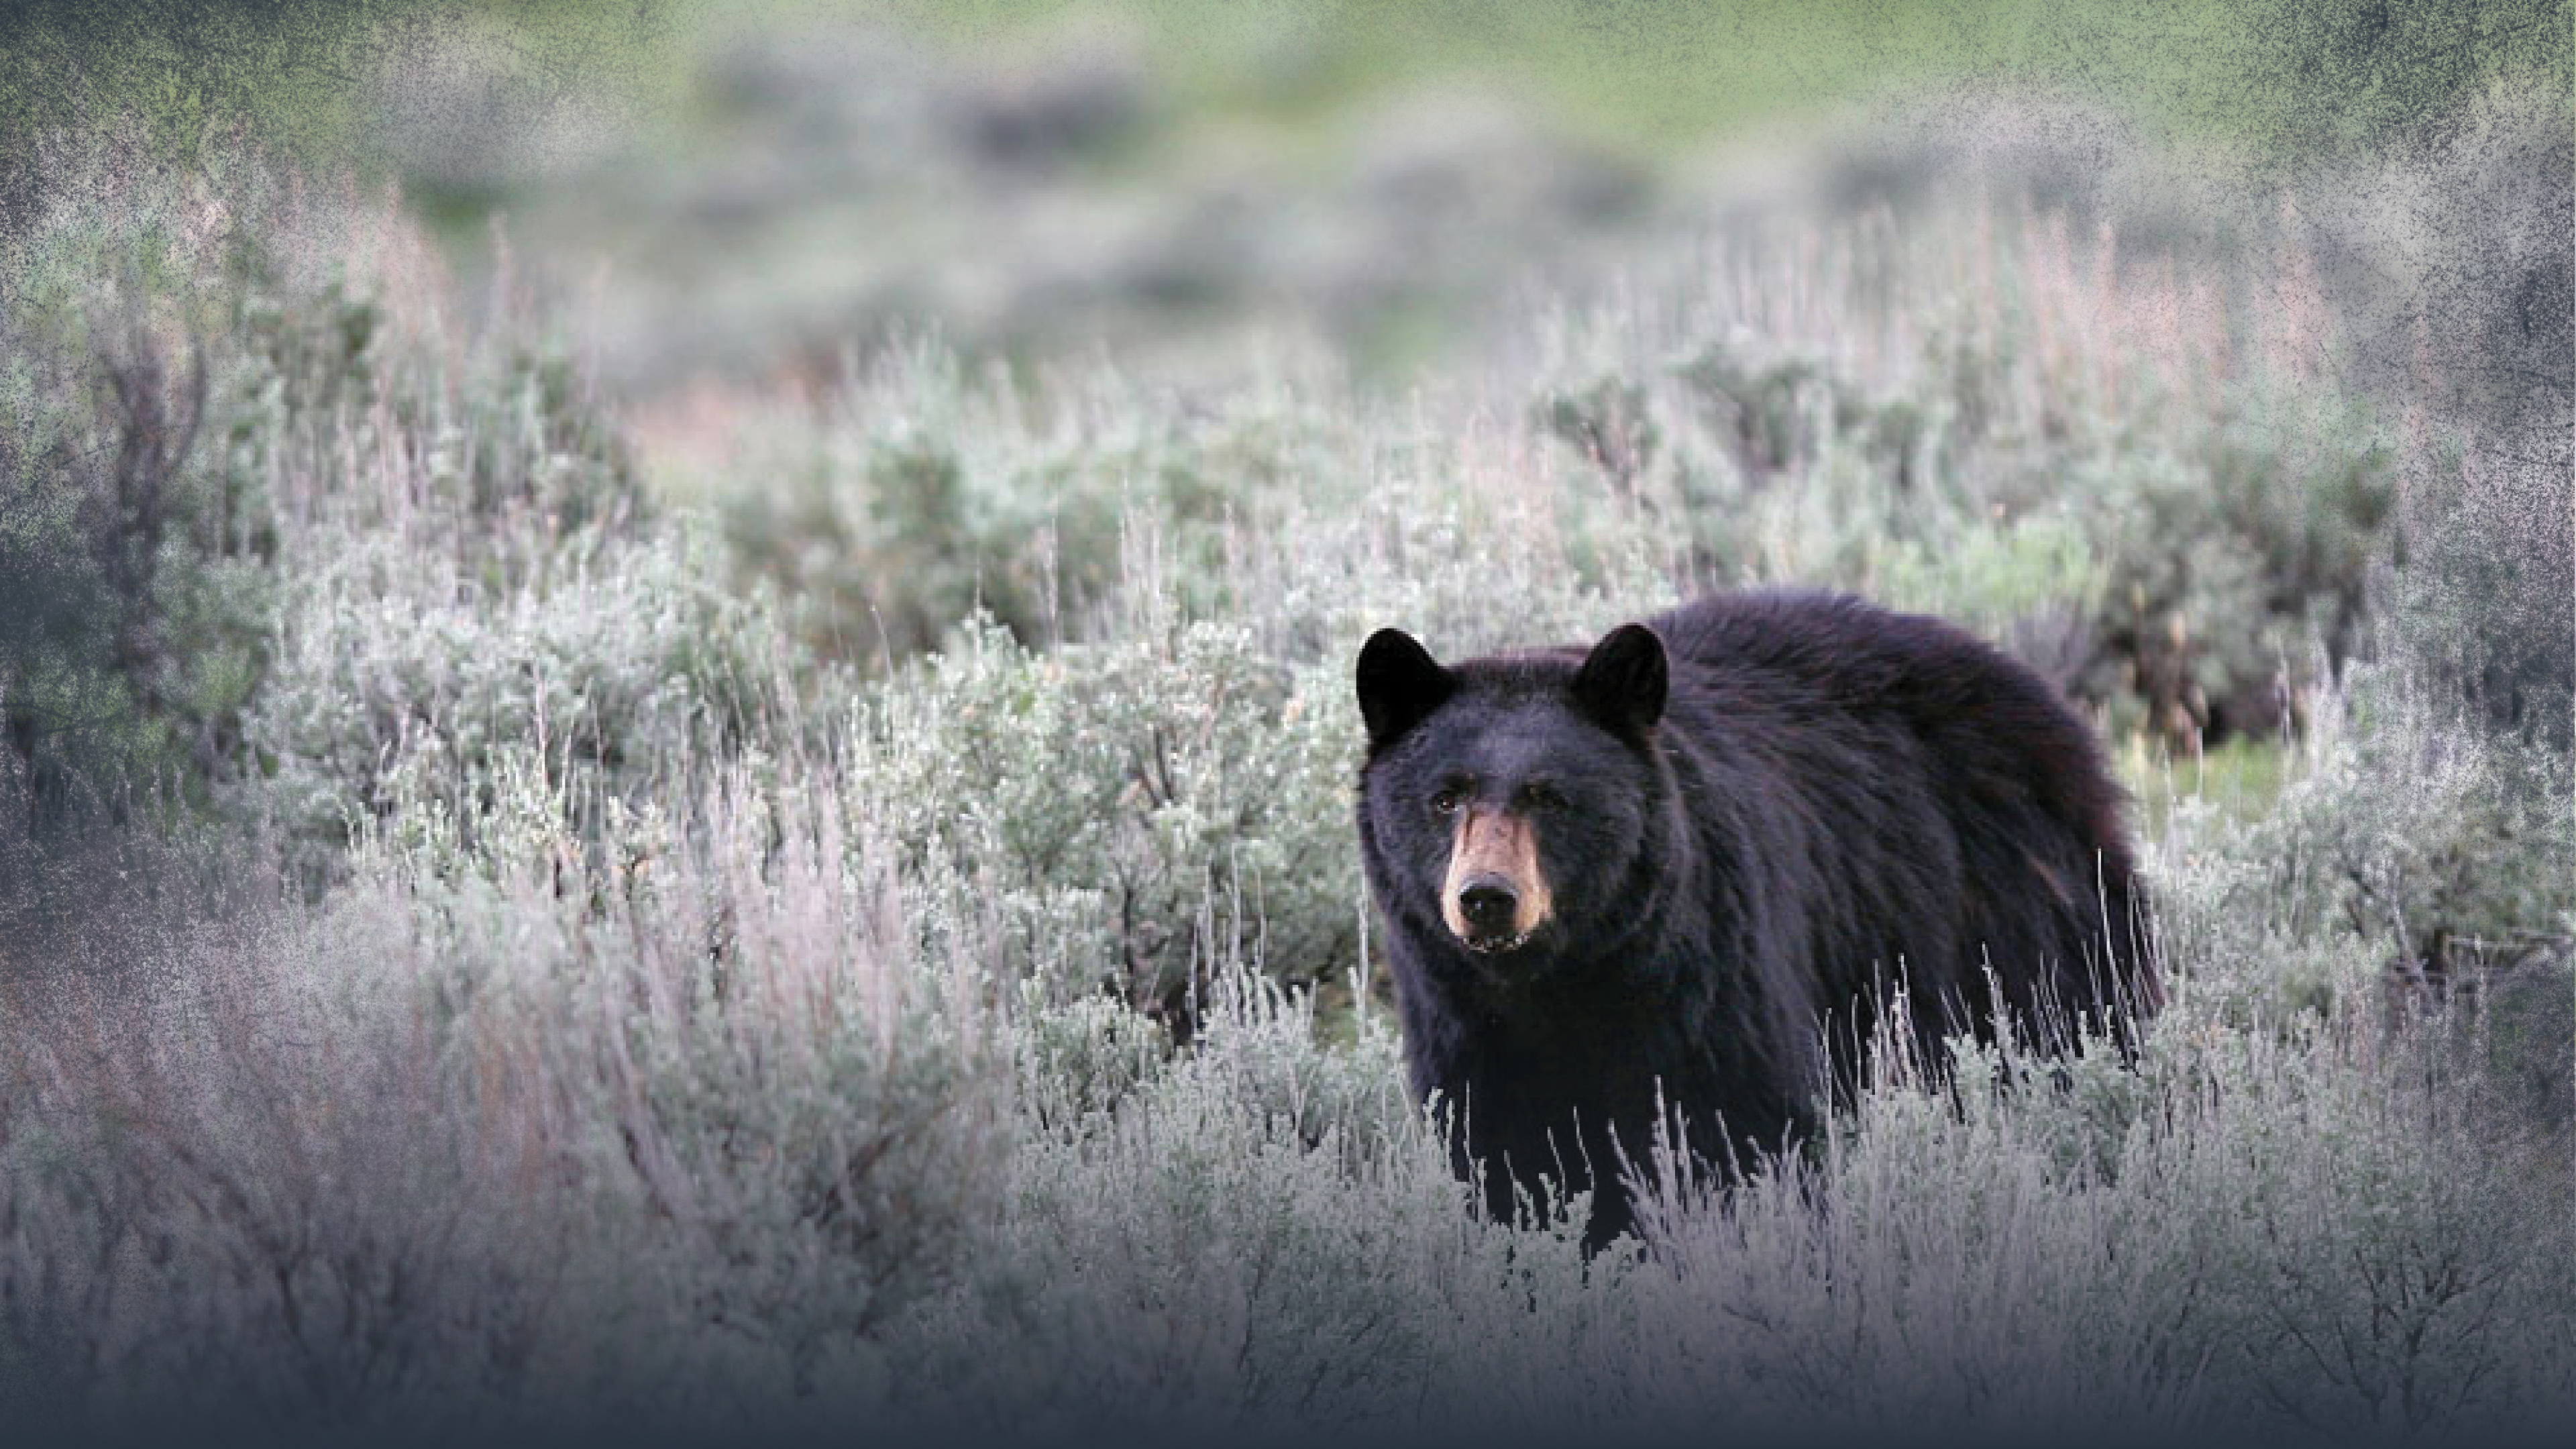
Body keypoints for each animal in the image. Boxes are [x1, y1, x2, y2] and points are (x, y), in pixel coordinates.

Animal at [1353, 588, 2159, 1248]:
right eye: (1445, 796)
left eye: (1550, 797)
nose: (1487, 897)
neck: (1567, 982)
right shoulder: (1464, 1024)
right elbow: (1510, 1165)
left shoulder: (1710, 975)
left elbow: (1744, 1130)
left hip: (2014, 914)